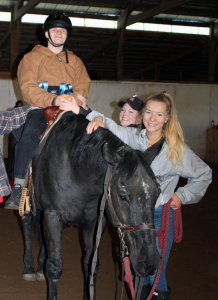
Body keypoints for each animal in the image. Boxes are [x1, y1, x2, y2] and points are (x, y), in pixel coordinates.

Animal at [22, 112, 163, 300]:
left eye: (158, 192)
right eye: (123, 196)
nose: (150, 262)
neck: (75, 168)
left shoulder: (94, 224)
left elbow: (91, 266)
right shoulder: (53, 218)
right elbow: (55, 267)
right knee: (26, 225)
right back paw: (29, 268)